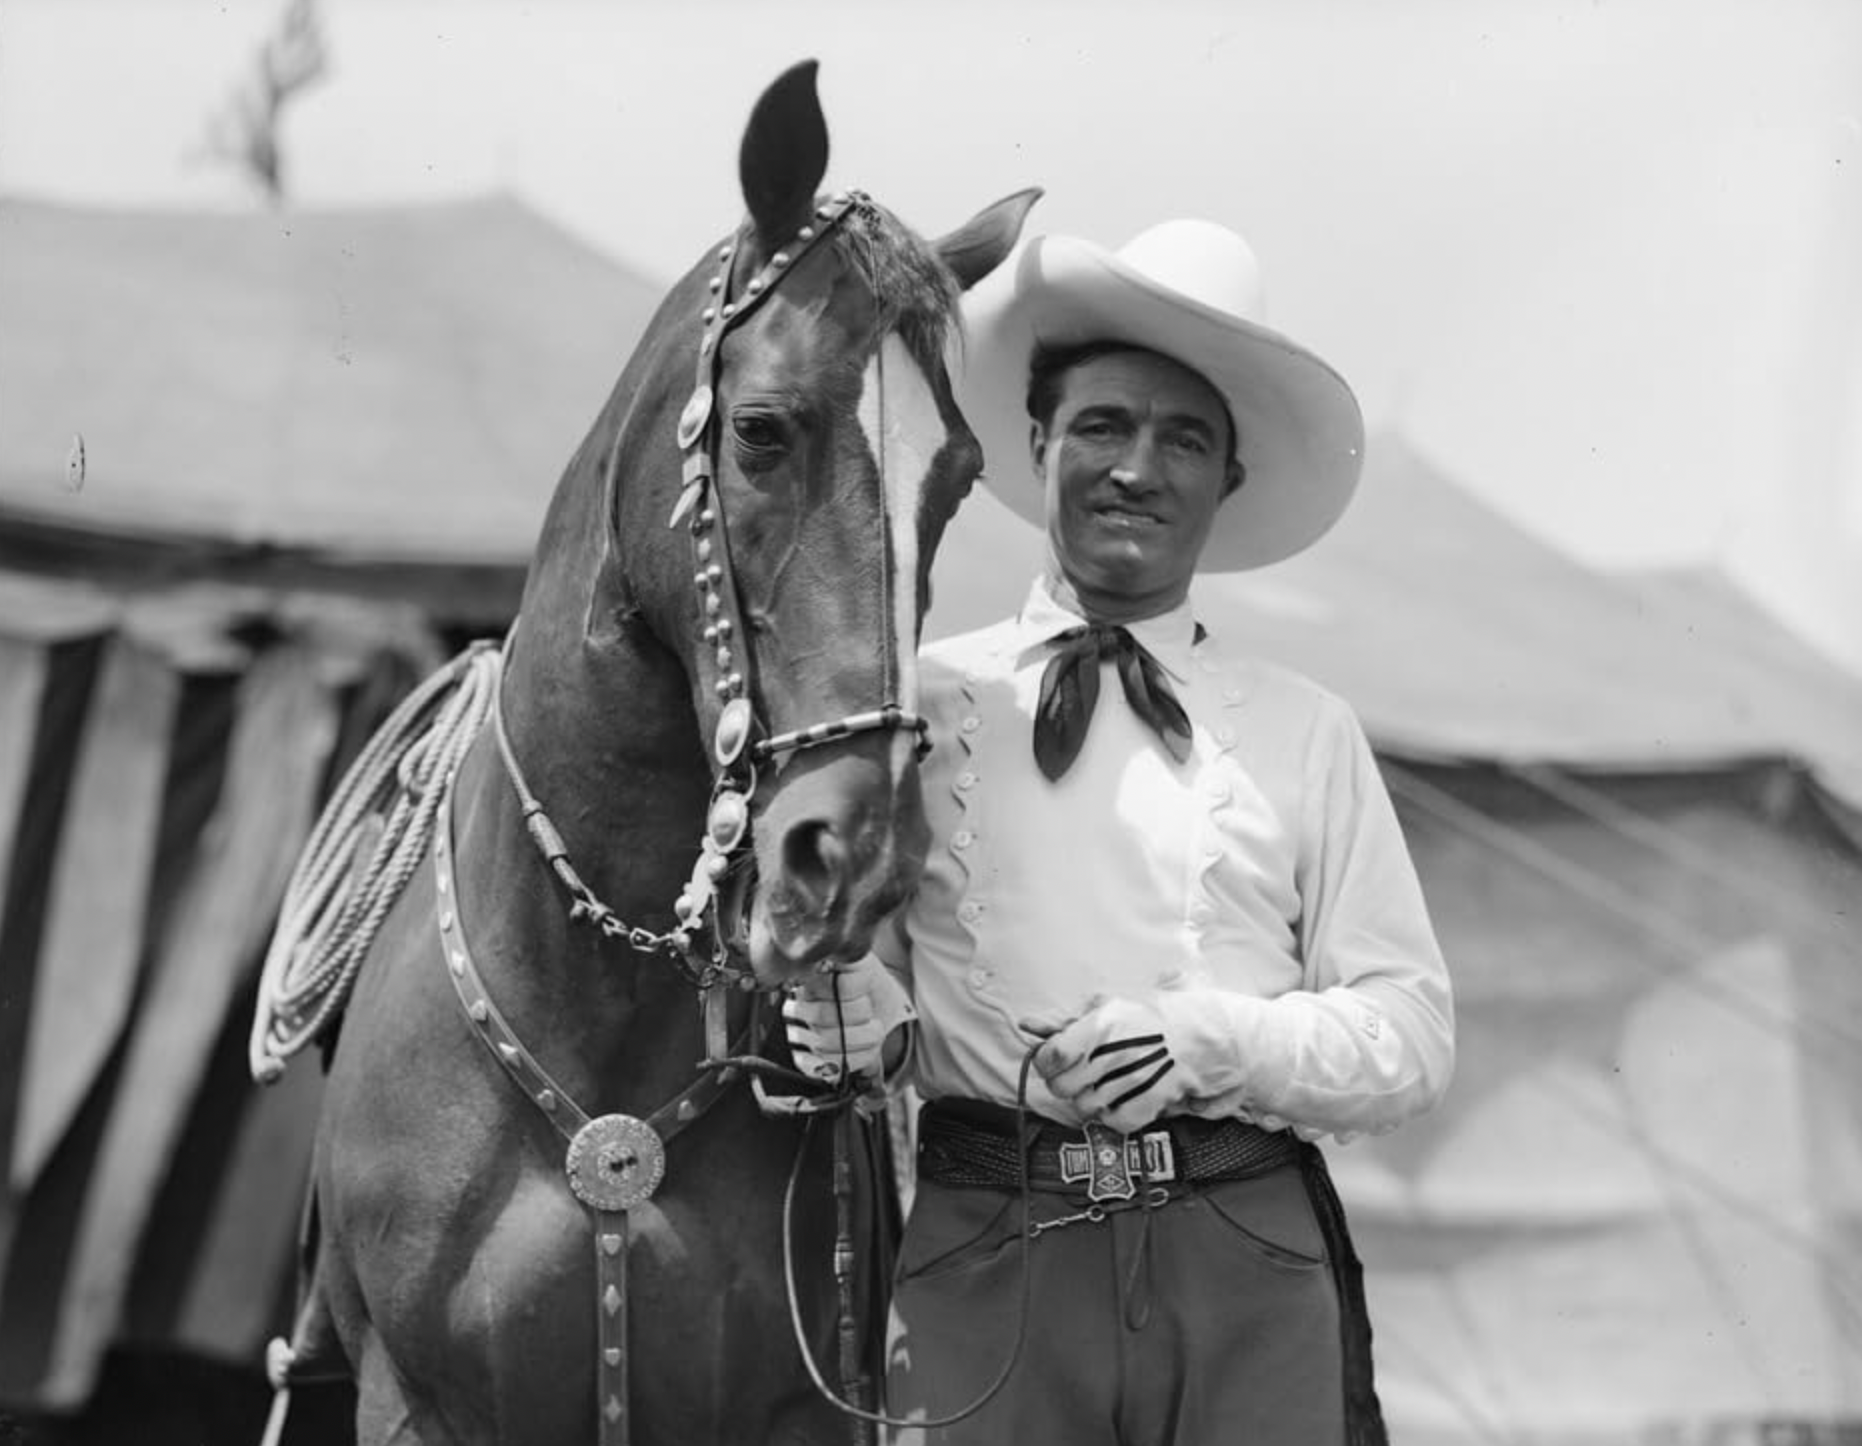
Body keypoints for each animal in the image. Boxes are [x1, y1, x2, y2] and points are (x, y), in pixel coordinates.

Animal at [248, 61, 1036, 1446]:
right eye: (761, 430)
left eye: (955, 477)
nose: (852, 855)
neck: (591, 1012)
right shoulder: (413, 1403)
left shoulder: (786, 1409)